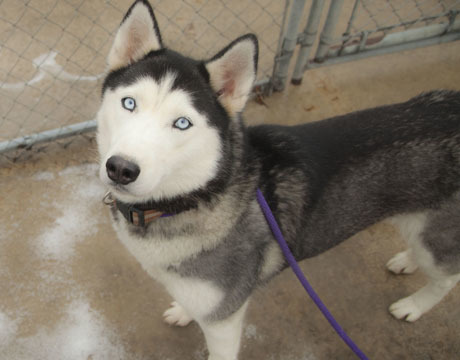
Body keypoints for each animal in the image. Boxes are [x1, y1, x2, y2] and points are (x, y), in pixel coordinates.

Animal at [95, 1, 458, 358]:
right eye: (129, 103)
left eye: (182, 123)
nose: (121, 168)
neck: (189, 200)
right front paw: (184, 312)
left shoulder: (224, 318)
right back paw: (407, 260)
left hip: (438, 241)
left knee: (447, 278)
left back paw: (414, 305)